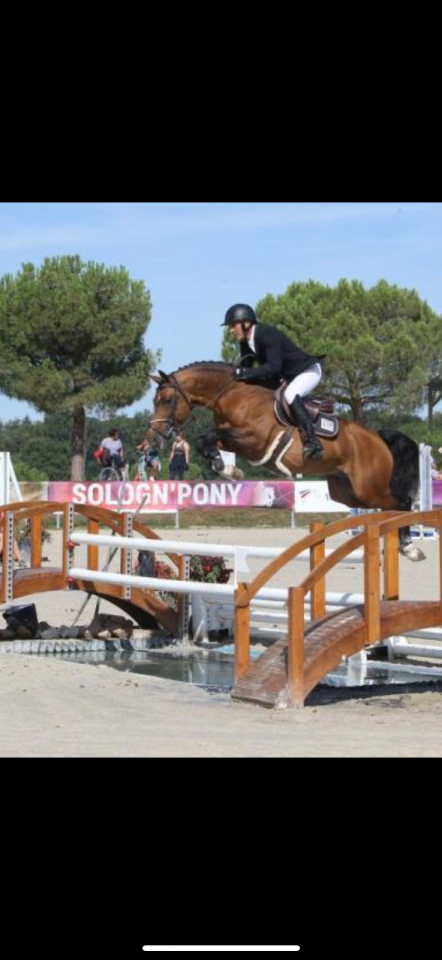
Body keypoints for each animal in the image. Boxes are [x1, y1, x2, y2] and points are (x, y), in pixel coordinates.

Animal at [147, 362, 424, 560]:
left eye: (167, 400)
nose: (154, 436)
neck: (235, 395)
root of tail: (377, 437)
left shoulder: (255, 440)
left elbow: (208, 437)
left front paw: (227, 470)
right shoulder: (236, 440)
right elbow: (206, 441)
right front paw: (227, 469)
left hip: (369, 487)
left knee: (402, 502)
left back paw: (409, 547)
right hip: (349, 492)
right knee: (388, 508)